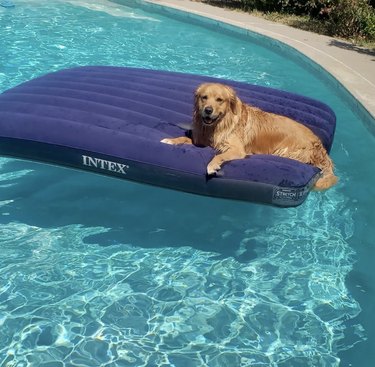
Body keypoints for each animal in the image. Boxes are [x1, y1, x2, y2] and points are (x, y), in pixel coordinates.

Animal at [161, 83, 338, 191]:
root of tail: (320, 146)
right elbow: (186, 139)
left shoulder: (236, 149)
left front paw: (212, 166)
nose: (208, 110)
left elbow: (219, 156)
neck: (219, 125)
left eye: (220, 100)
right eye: (204, 97)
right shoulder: (201, 140)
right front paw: (171, 140)